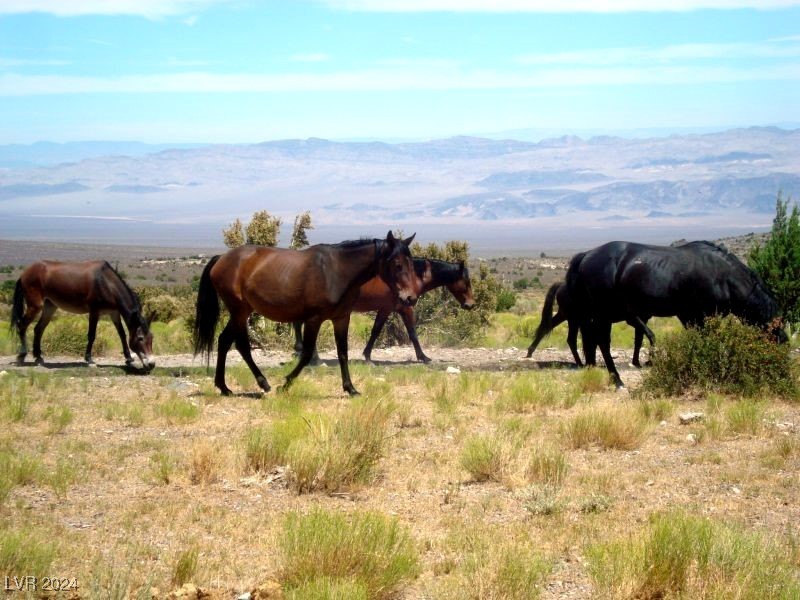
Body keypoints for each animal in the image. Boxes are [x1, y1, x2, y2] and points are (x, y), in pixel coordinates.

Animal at [11, 262, 155, 370]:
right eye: (140, 338)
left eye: (151, 338)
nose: (152, 364)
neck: (107, 282)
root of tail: (25, 273)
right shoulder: (94, 311)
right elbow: (91, 335)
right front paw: (89, 359)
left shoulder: (114, 313)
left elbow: (122, 334)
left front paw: (129, 359)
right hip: (35, 306)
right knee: (22, 326)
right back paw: (21, 356)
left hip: (49, 307)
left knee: (38, 329)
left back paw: (38, 358)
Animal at [195, 232, 418, 396]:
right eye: (397, 264)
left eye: (411, 263)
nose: (410, 298)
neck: (337, 272)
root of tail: (221, 259)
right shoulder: (313, 320)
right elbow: (307, 353)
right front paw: (285, 384)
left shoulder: (341, 318)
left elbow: (343, 352)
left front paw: (351, 388)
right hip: (239, 311)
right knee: (241, 345)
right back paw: (263, 383)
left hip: (242, 311)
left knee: (224, 341)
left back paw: (224, 387)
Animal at [296, 256, 478, 360]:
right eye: (466, 281)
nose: (470, 304)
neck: (412, 277)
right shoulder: (400, 309)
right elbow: (410, 333)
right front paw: (423, 357)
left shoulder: (392, 309)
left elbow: (378, 331)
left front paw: (367, 355)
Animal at [564, 240, 784, 386]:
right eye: (777, 339)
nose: (779, 371)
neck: (721, 275)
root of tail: (587, 255)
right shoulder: (700, 315)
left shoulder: (690, 316)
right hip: (604, 311)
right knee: (601, 340)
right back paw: (617, 380)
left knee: (595, 340)